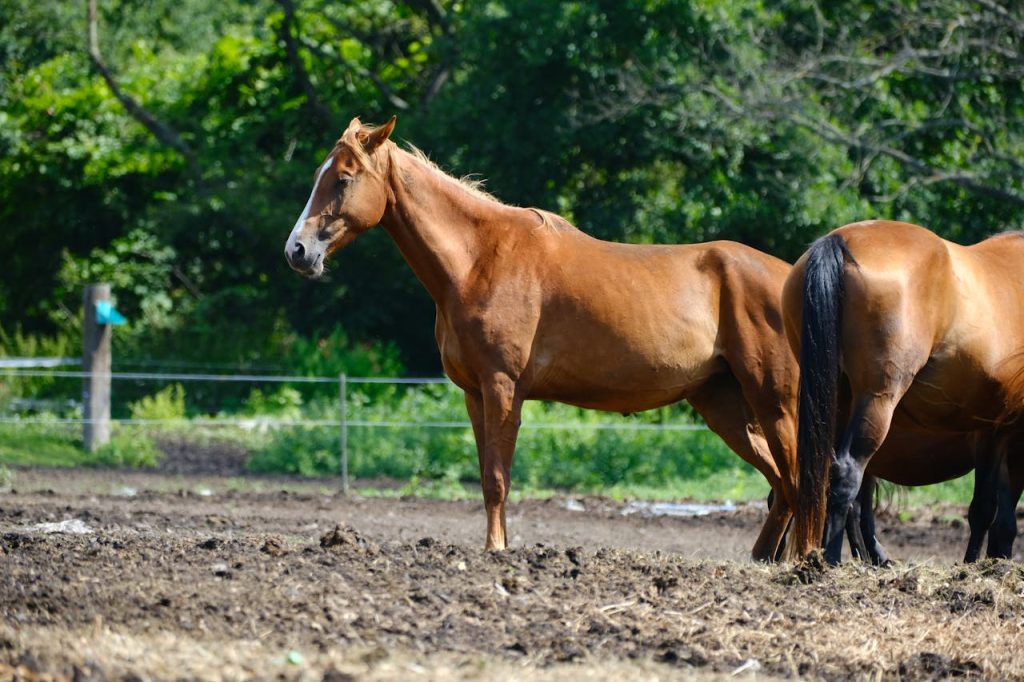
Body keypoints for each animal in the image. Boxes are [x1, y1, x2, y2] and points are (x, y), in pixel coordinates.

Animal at [783, 220, 1024, 563]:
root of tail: (840, 240)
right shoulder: (1006, 434)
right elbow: (993, 514)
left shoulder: (990, 429)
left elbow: (988, 512)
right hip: (877, 401)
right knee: (847, 476)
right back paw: (831, 560)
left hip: (838, 405)